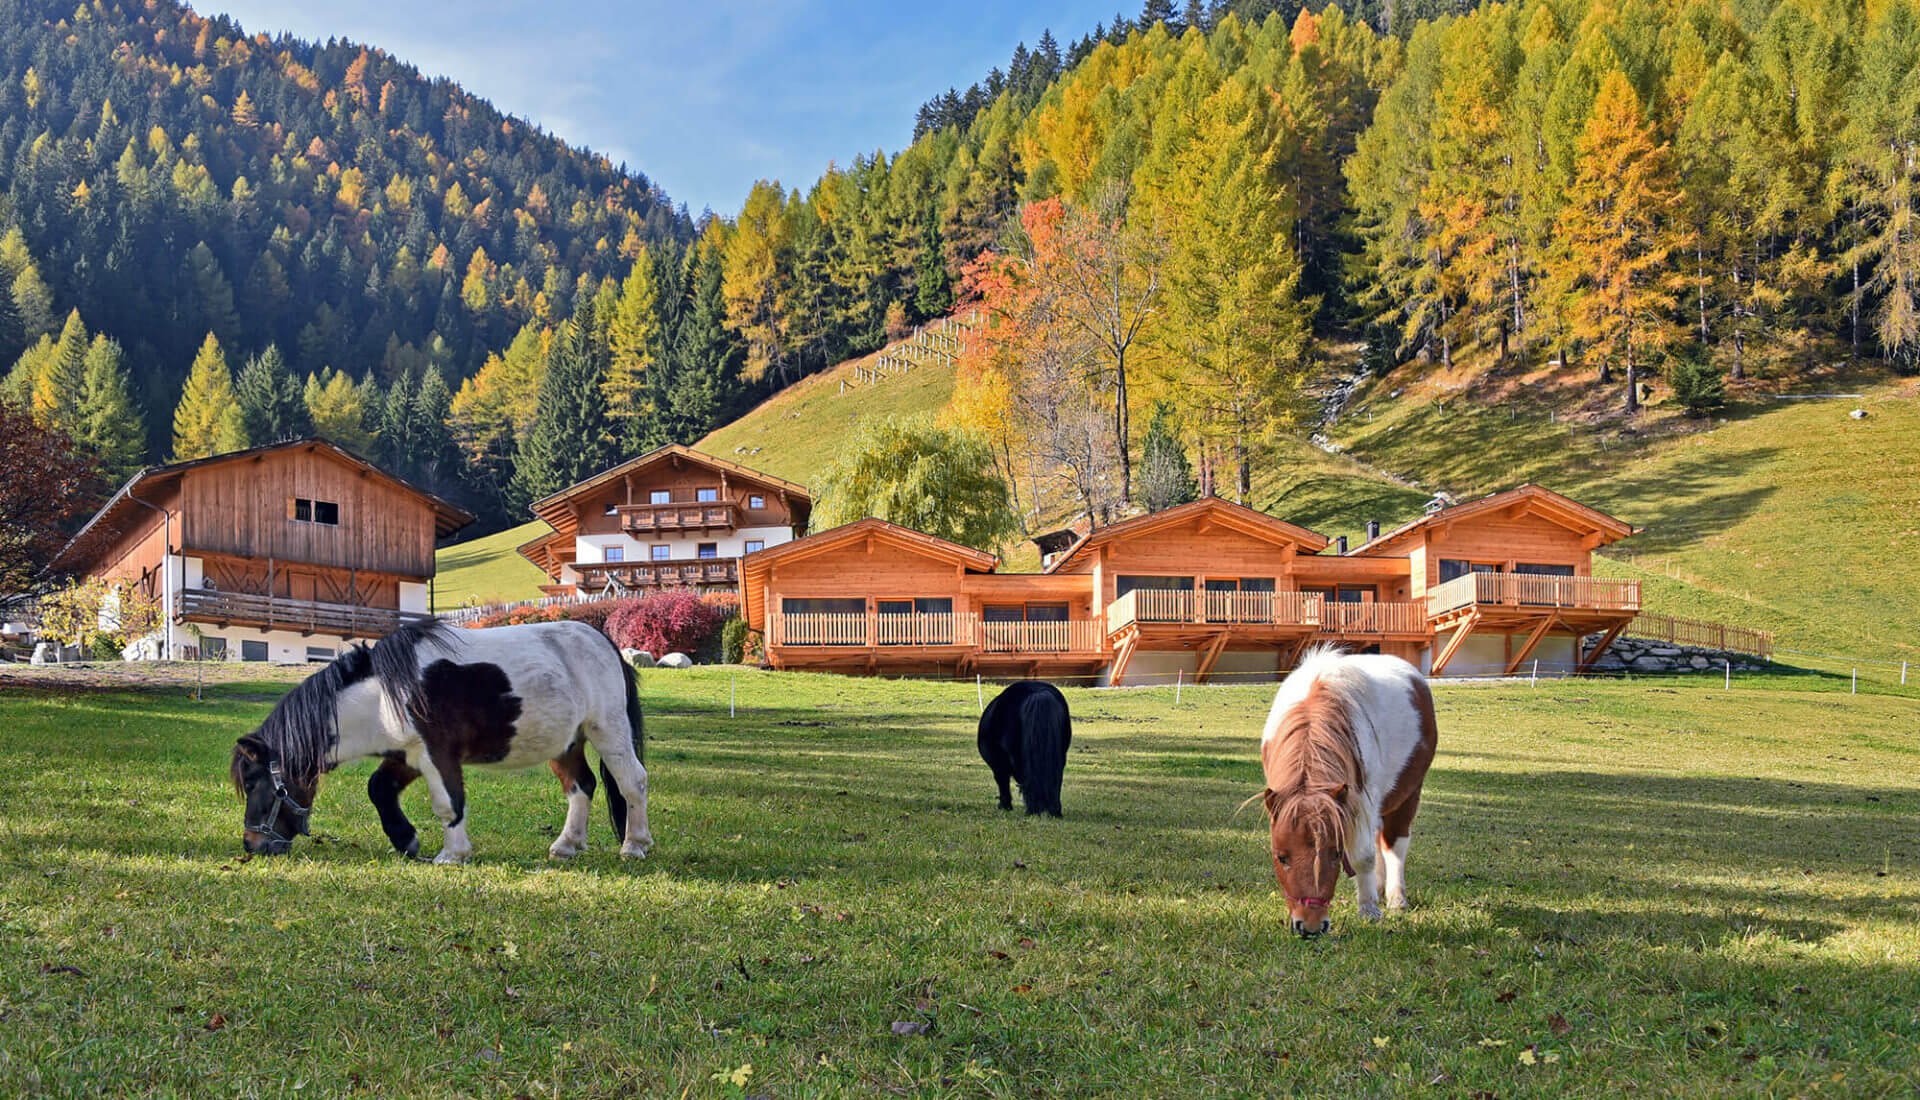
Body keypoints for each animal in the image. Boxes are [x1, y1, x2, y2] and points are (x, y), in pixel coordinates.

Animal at [225, 621, 652, 863]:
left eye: (253, 782)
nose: (252, 844)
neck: (385, 693)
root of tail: (605, 643)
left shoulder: (436, 754)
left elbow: (448, 804)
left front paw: (452, 854)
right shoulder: (406, 754)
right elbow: (379, 788)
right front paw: (406, 840)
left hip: (607, 729)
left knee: (633, 781)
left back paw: (635, 844)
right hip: (567, 743)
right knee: (581, 786)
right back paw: (567, 845)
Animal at [983, 679, 1075, 813]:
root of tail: (1037, 692)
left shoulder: (999, 765)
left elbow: (1003, 782)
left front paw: (1005, 806)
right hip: (1060, 756)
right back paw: (1053, 810)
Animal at [1259, 648, 1443, 929]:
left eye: (1336, 854)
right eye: (1281, 857)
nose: (1310, 926)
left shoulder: (1362, 802)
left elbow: (1363, 857)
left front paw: (1369, 910)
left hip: (1407, 796)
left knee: (1393, 845)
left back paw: (1395, 898)